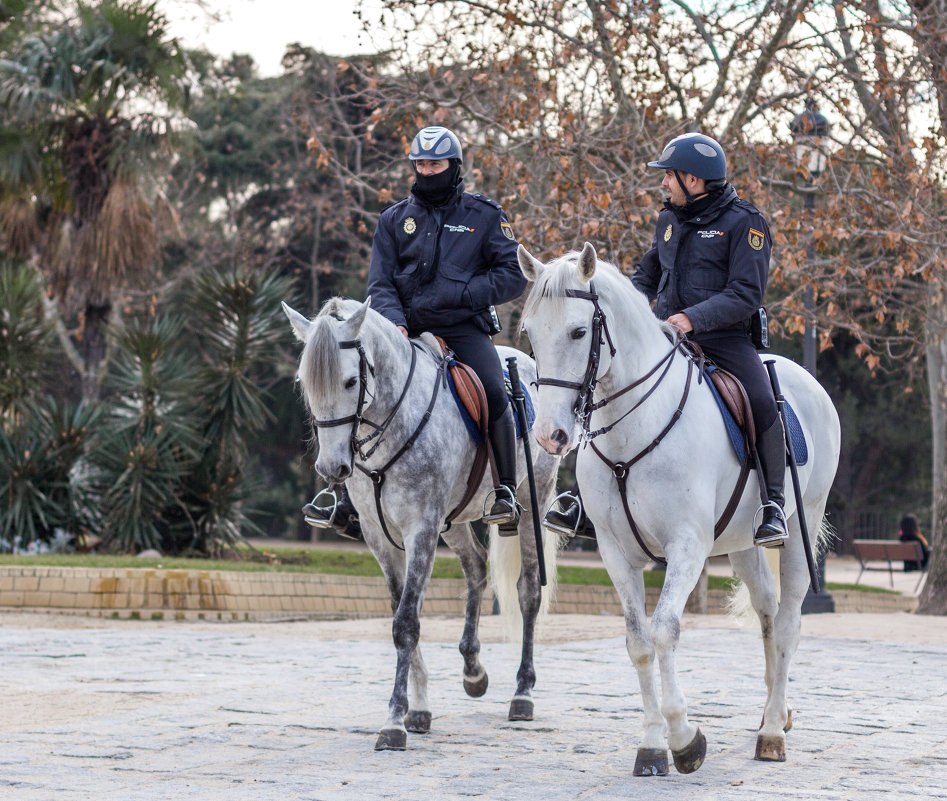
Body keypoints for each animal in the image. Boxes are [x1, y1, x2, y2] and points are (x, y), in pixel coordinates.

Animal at [282, 296, 564, 752]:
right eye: (307, 383)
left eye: (349, 382)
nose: (332, 468)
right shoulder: (381, 538)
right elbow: (402, 612)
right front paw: (418, 709)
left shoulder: (421, 530)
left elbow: (406, 623)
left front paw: (394, 722)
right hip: (453, 523)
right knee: (476, 567)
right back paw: (473, 670)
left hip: (530, 501)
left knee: (528, 593)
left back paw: (522, 693)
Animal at [520, 244, 844, 776]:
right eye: (529, 331)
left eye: (578, 331)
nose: (551, 435)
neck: (633, 429)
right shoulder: (615, 553)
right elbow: (638, 641)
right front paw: (653, 744)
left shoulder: (687, 546)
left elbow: (665, 629)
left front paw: (684, 738)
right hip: (743, 545)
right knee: (768, 612)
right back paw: (773, 714)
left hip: (801, 528)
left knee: (789, 621)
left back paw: (773, 733)